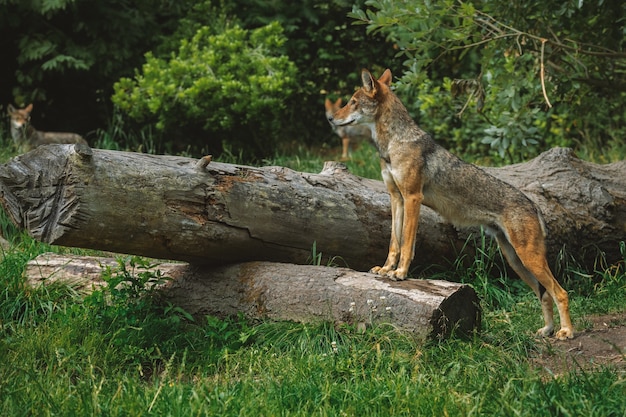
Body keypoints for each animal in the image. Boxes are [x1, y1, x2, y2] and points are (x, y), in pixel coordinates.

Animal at [330, 68, 572, 340]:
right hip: (517, 263)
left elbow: (406, 244)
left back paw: (566, 331)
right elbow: (394, 242)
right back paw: (547, 330)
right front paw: (385, 269)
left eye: (352, 102)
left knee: (561, 292)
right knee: (545, 295)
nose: (330, 119)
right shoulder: (396, 198)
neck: (392, 144)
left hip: (529, 260)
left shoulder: (413, 198)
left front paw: (400, 273)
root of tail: (533, 205)